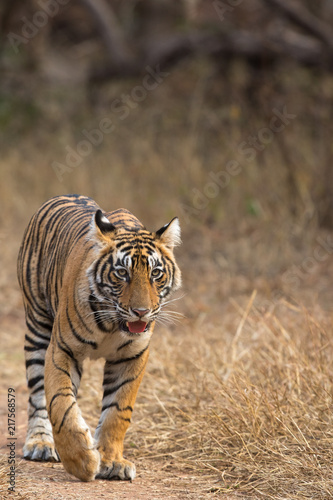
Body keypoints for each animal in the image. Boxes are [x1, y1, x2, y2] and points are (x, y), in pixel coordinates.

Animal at [16, 193, 180, 482]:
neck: (112, 324)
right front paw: (81, 461)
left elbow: (117, 411)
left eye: (156, 274)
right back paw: (40, 444)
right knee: (37, 395)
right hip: (37, 326)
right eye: (122, 273)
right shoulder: (62, 349)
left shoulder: (132, 356)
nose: (141, 312)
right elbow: (60, 403)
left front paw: (112, 462)